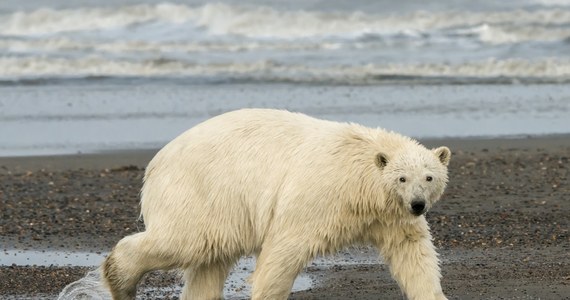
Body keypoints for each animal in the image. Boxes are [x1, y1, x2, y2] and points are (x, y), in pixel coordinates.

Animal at [101, 109, 448, 300]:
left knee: (209, 260)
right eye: (402, 178)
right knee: (183, 241)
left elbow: (412, 253)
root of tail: (156, 162)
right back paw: (119, 279)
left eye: (428, 177)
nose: (418, 204)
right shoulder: (318, 196)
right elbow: (284, 248)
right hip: (200, 192)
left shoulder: (389, 216)